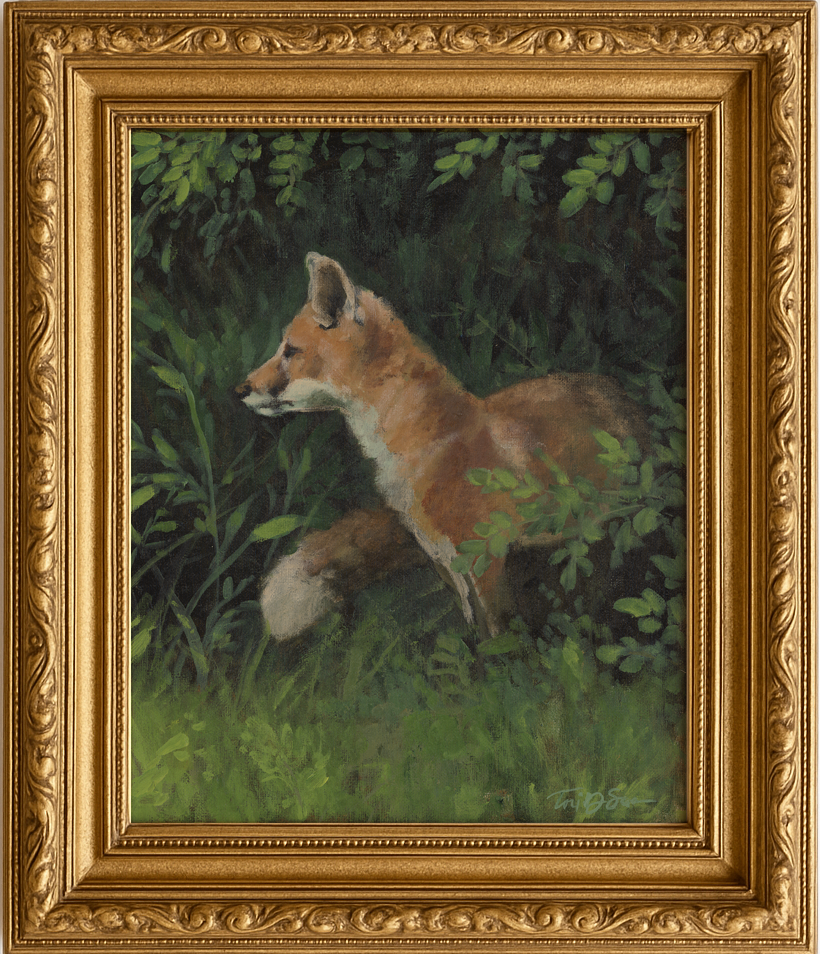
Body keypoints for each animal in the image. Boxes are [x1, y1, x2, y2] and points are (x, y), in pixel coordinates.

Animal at [236, 252, 648, 641]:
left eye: (291, 351)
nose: (240, 390)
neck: (428, 444)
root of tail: (621, 393)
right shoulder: (444, 558)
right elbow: (476, 630)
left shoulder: (486, 558)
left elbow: (499, 634)